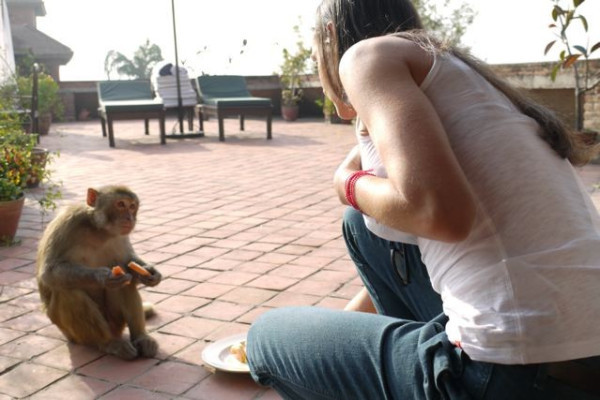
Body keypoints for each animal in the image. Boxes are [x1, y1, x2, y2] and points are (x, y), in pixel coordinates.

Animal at [35, 186, 162, 360]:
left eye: (132, 206)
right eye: (120, 204)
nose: (129, 218)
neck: (99, 230)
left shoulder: (121, 236)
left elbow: (127, 263)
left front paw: (150, 272)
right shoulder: (67, 224)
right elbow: (49, 273)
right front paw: (103, 277)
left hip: (116, 322)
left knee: (125, 282)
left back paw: (141, 338)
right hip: (73, 334)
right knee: (68, 292)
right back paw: (109, 343)